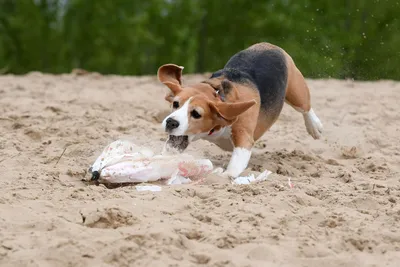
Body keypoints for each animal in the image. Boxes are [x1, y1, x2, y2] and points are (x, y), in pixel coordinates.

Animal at [158, 43, 324, 179]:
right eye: (175, 104)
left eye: (196, 114)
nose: (171, 122)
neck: (220, 95)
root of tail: (270, 45)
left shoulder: (243, 137)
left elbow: (234, 165)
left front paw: (224, 174)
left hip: (296, 92)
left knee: (306, 108)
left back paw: (314, 126)